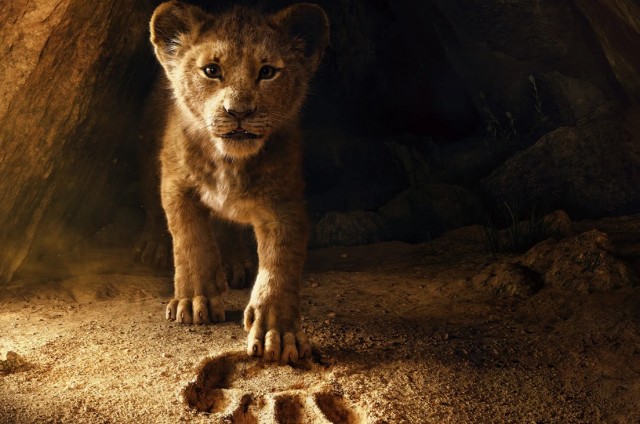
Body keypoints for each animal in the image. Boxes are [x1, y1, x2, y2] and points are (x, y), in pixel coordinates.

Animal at [148, 1, 330, 363]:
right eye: (211, 70)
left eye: (268, 72)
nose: (239, 112)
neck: (229, 161)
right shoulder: (176, 185)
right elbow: (191, 241)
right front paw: (195, 300)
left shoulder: (284, 203)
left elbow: (280, 264)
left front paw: (278, 332)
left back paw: (235, 264)